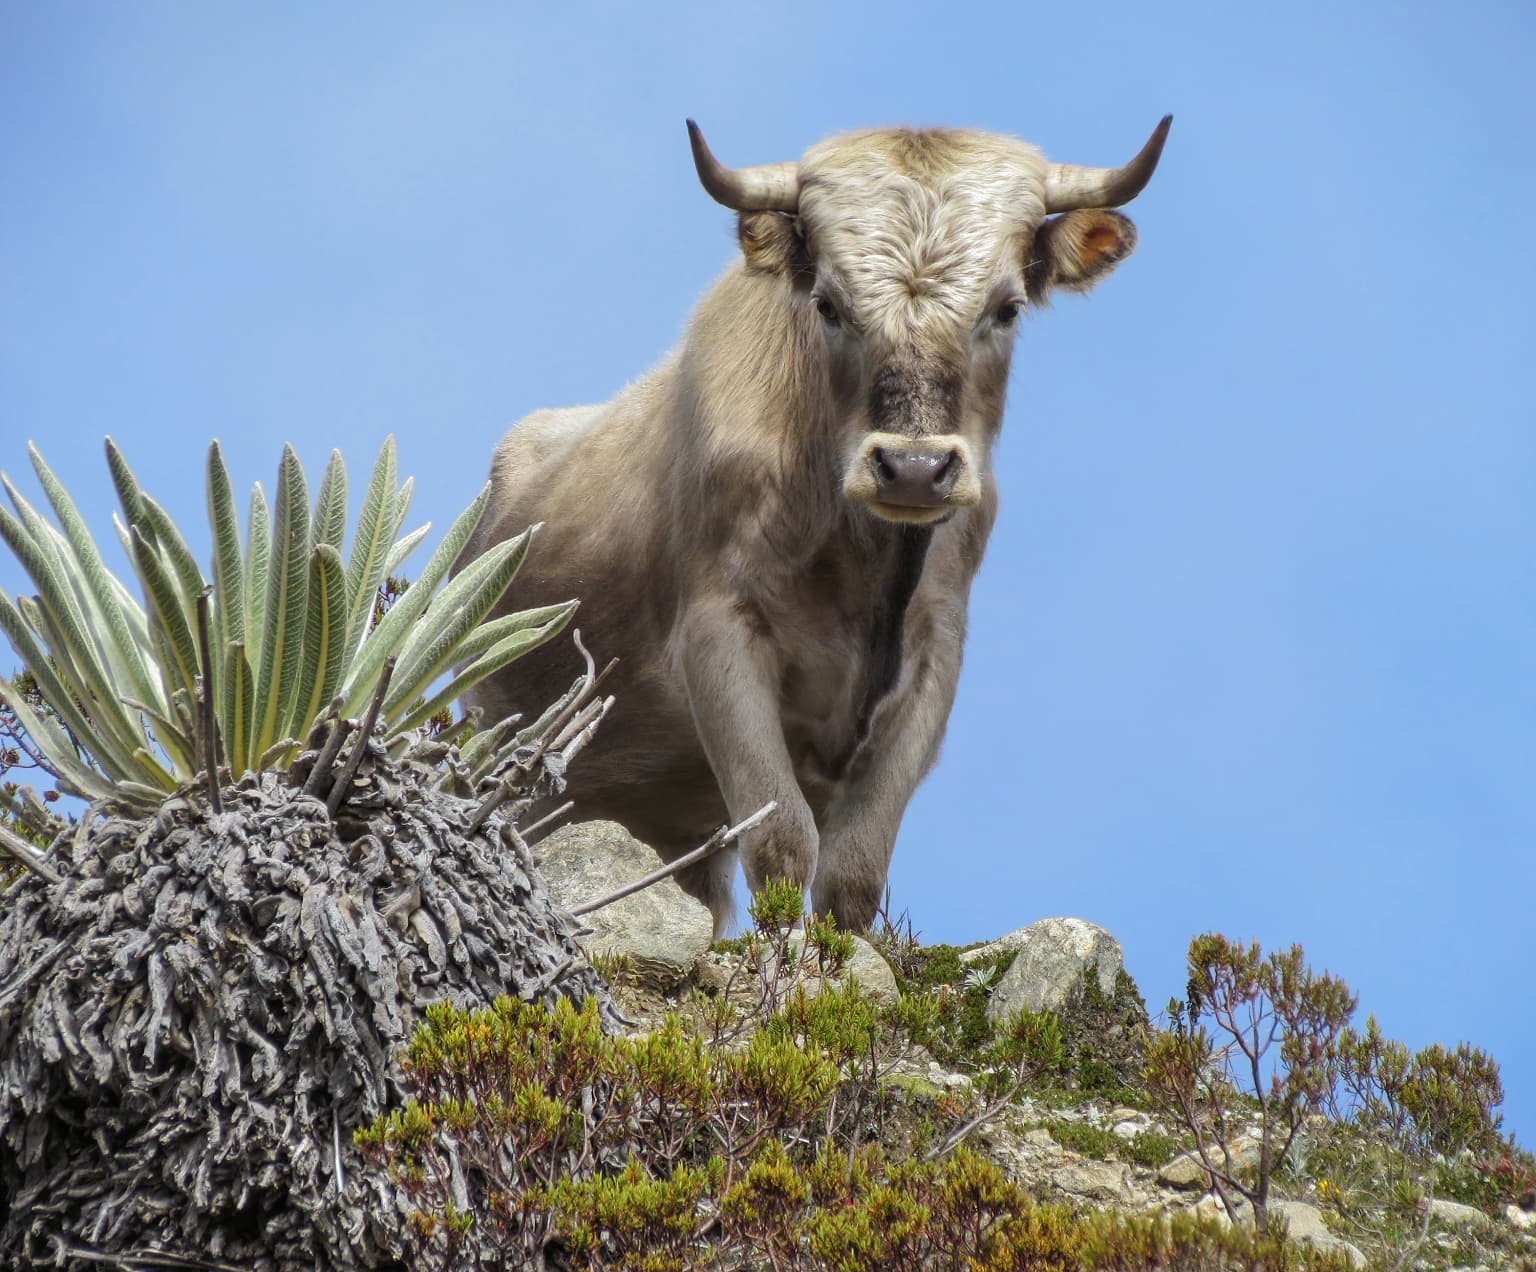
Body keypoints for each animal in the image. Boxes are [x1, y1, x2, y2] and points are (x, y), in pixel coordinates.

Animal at [460, 118, 1170, 937]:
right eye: (829, 305)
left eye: (1009, 307)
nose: (914, 468)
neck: (861, 565)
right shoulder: (718, 635)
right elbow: (781, 844)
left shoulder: (936, 658)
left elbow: (854, 873)